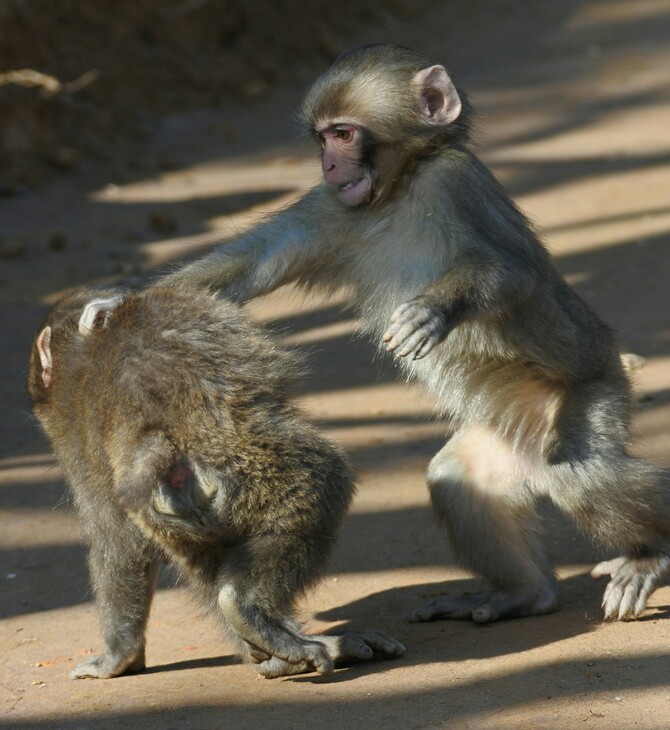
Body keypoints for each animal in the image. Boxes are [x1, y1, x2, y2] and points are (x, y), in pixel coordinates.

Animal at [27, 284, 404, 676]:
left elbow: (117, 538)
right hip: (250, 473)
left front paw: (119, 654)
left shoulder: (69, 435)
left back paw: (276, 647)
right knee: (325, 479)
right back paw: (250, 610)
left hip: (185, 518)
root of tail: (155, 449)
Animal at [161, 44, 670, 620]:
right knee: (458, 482)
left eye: (343, 134)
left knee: (578, 471)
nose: (328, 164)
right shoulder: (333, 205)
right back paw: (522, 594)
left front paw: (434, 310)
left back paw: (651, 556)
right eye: (321, 138)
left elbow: (514, 271)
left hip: (597, 388)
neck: (400, 189)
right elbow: (255, 263)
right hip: (502, 435)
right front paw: (116, 306)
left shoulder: (455, 183)